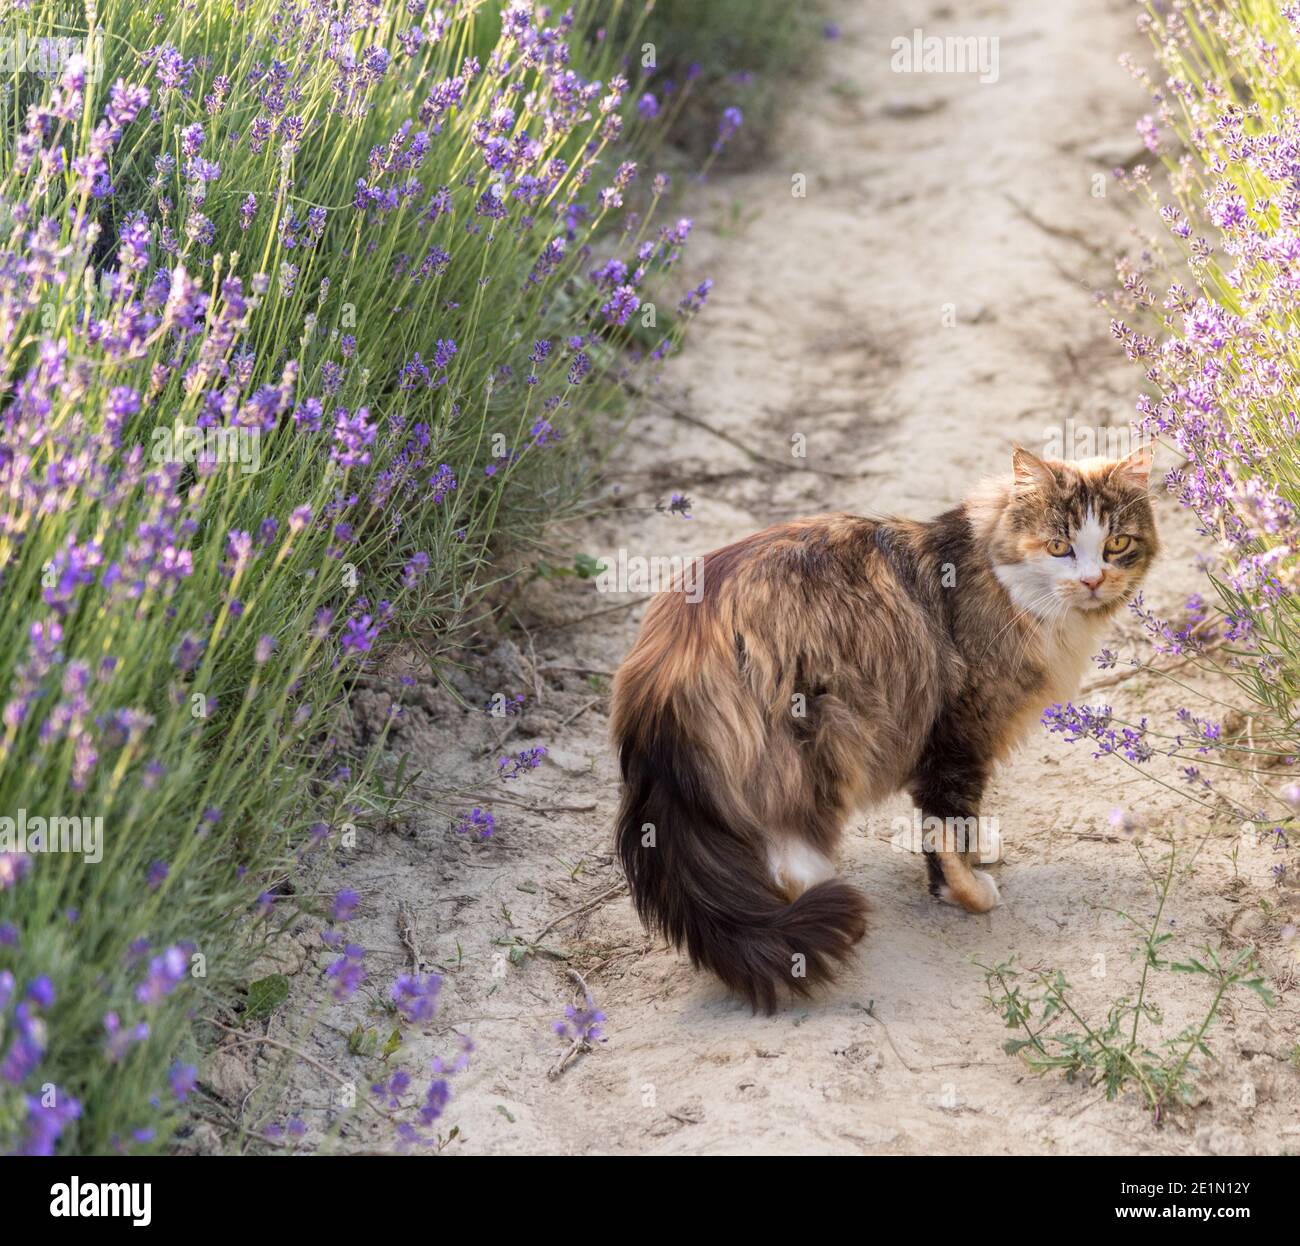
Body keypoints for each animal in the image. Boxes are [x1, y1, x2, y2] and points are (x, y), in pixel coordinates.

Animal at [608, 447, 1159, 1014]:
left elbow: (953, 827)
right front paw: (967, 892)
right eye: (1058, 547)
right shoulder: (960, 731)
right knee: (795, 860)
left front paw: (971, 859)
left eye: (1117, 544)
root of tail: (670, 651)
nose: (1093, 581)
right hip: (830, 737)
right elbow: (948, 824)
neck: (997, 578)